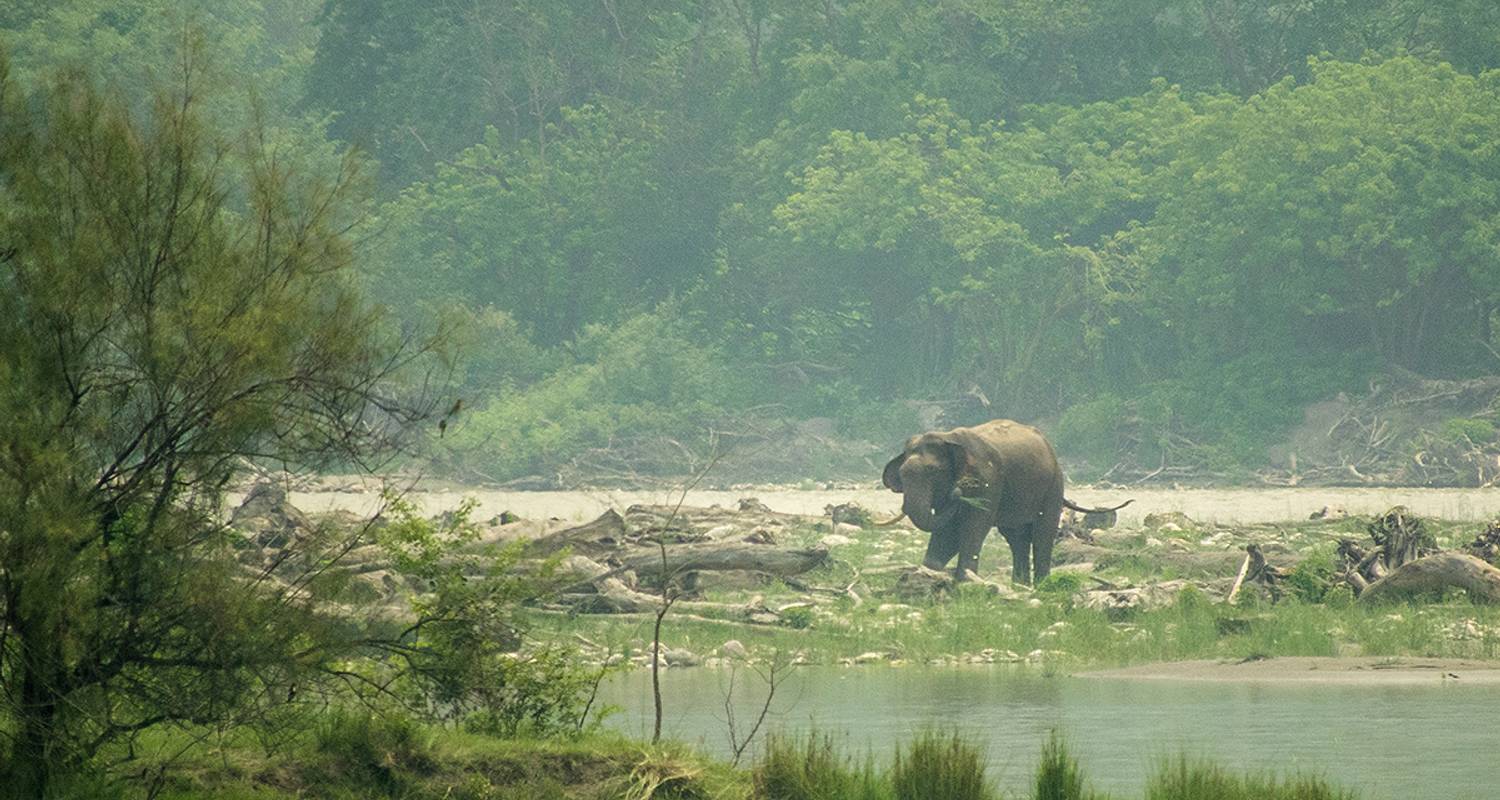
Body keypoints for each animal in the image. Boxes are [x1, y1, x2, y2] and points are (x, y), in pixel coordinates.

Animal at [876, 420, 1128, 582]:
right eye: (902, 474)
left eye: (932, 471)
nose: (958, 492)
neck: (949, 438)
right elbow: (945, 531)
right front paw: (928, 574)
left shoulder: (988, 481)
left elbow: (973, 527)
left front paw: (965, 581)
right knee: (1016, 538)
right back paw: (1020, 585)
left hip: (1054, 485)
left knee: (1042, 534)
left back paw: (1041, 585)